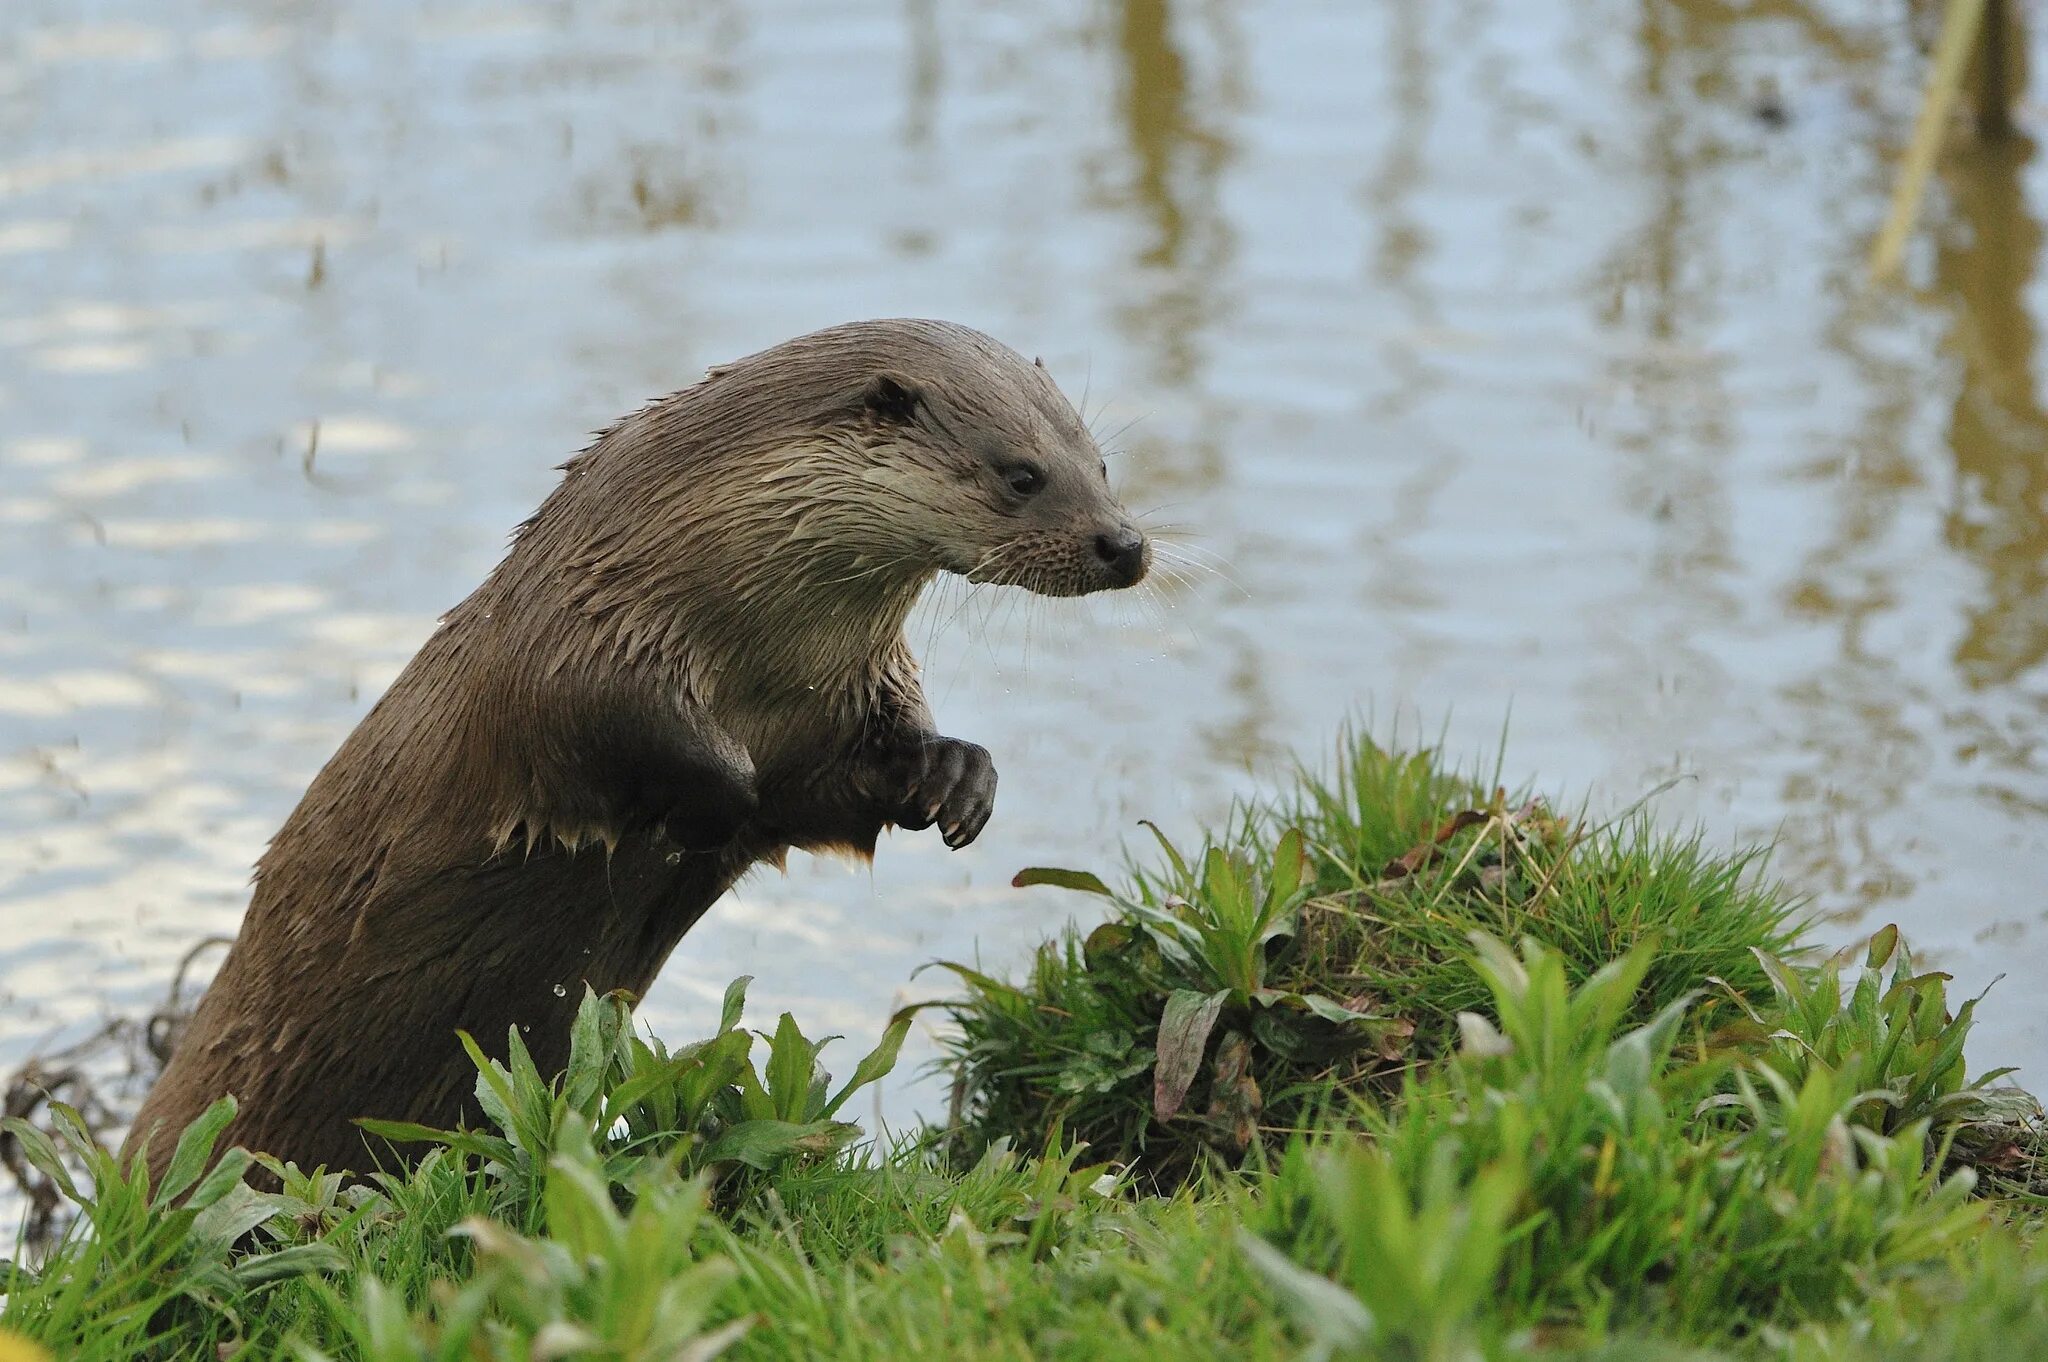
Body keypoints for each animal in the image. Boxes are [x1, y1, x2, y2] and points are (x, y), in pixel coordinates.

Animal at [128, 319, 1155, 1179]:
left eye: (1102, 462)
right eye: (1021, 474)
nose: (1126, 544)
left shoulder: (846, 697)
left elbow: (837, 791)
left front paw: (956, 776)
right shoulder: (578, 652)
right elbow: (629, 747)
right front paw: (712, 806)